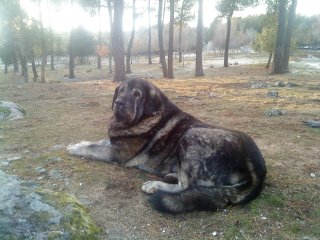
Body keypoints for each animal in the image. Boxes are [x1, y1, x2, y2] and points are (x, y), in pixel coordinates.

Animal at [69, 78, 266, 213]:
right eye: (121, 90)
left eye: (137, 95)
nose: (119, 103)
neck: (146, 117)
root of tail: (257, 167)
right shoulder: (113, 143)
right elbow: (100, 141)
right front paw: (79, 142)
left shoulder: (117, 152)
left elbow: (94, 148)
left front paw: (75, 148)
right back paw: (170, 175)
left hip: (192, 135)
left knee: (186, 186)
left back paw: (155, 185)